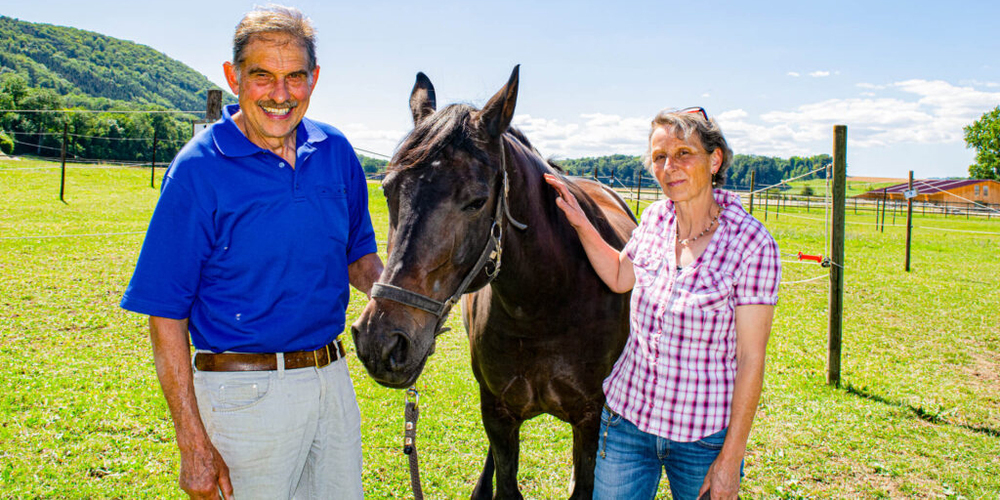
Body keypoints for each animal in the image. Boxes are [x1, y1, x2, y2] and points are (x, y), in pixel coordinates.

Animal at [351, 66, 636, 499]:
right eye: (387, 190)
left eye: (476, 200)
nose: (380, 342)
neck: (546, 303)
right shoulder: (498, 413)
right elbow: (506, 482)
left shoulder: (590, 419)